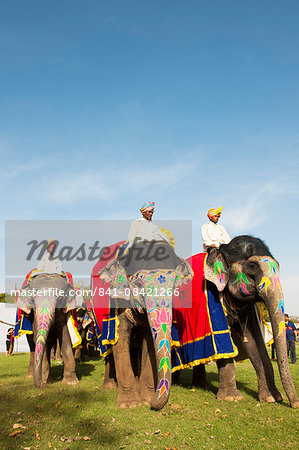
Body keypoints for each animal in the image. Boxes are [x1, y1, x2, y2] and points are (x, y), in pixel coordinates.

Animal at [173, 236, 299, 408]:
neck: (222, 249)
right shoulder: (212, 297)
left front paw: (271, 398)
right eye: (252, 266)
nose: (295, 404)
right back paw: (176, 382)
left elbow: (254, 342)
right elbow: (223, 341)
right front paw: (231, 398)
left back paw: (200, 386)